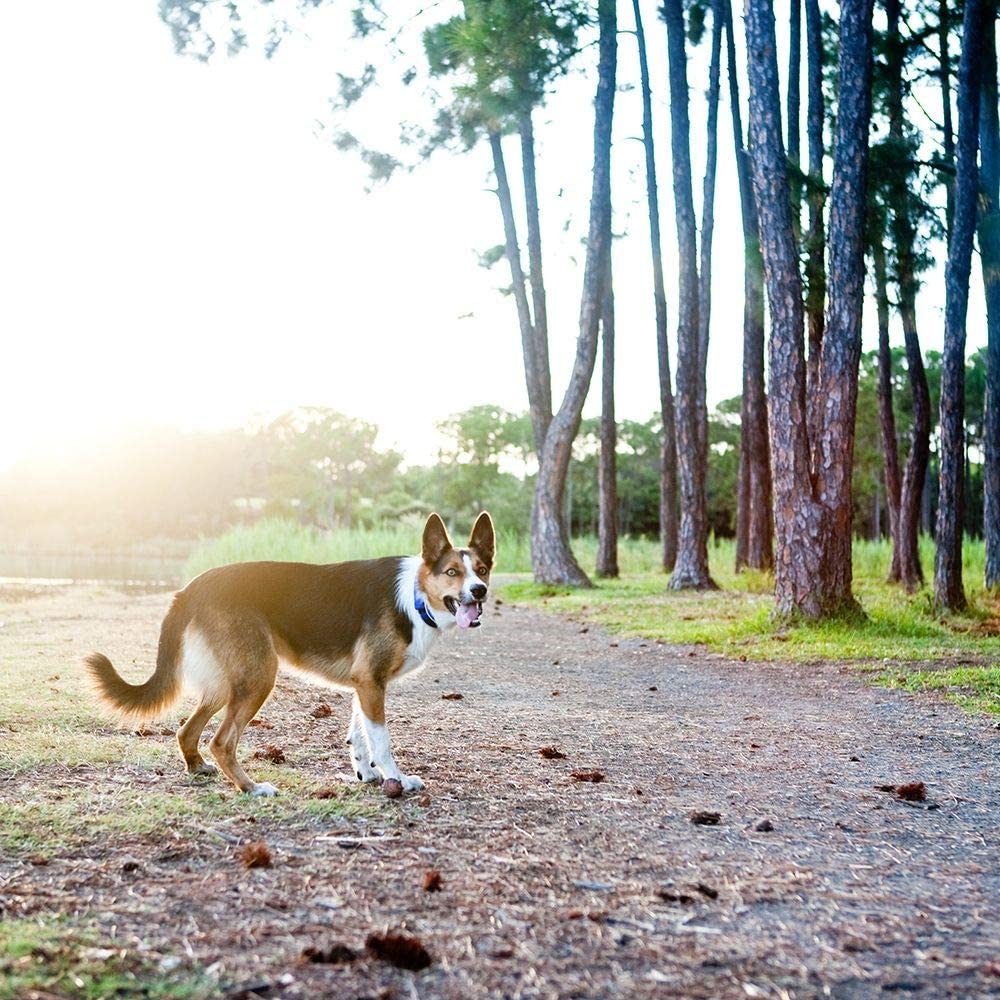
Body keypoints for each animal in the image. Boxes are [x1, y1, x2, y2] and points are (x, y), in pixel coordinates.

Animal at [86, 512, 496, 792]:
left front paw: (366, 774)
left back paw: (199, 768)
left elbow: (360, 735)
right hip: (258, 678)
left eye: (481, 569)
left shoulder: (365, 684)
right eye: (452, 572)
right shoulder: (371, 682)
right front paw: (395, 778)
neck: (414, 595)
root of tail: (191, 588)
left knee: (187, 731)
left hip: (227, 683)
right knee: (222, 741)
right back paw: (251, 789)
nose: (480, 592)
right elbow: (381, 740)